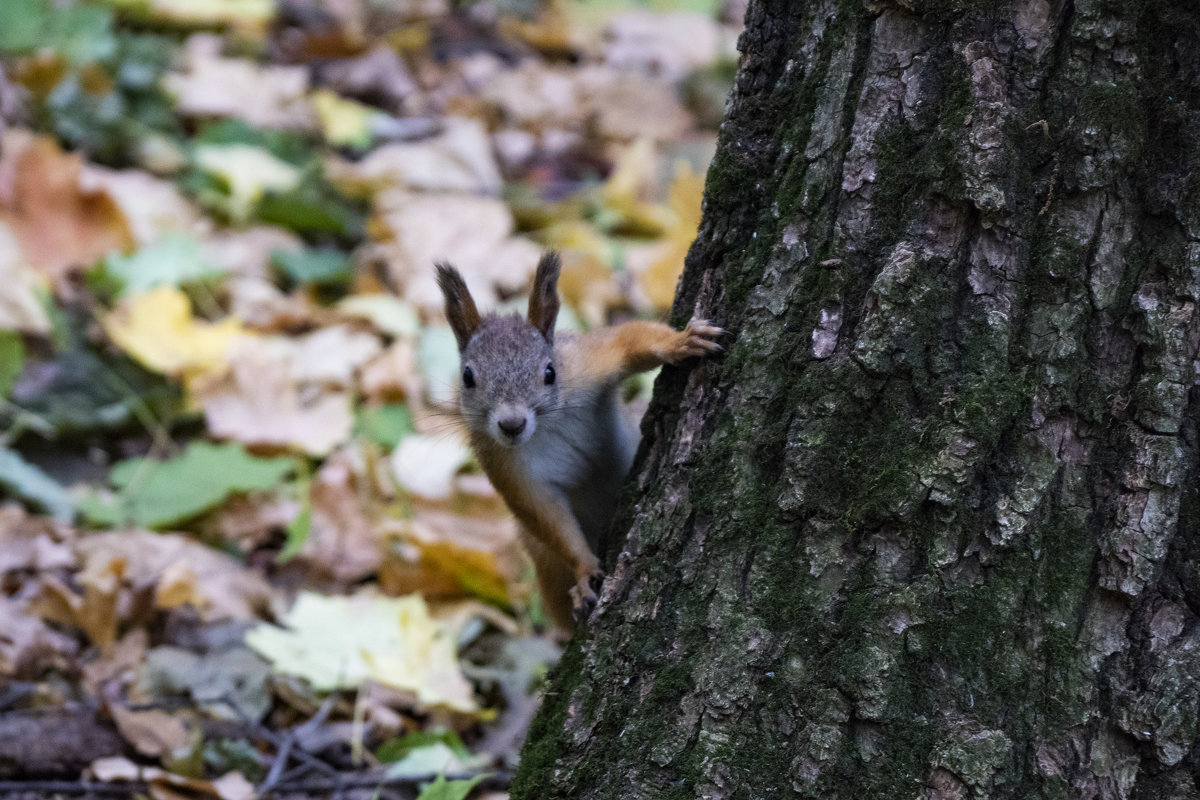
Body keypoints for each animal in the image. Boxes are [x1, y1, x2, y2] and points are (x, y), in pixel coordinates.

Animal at [439, 251, 724, 633]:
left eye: (550, 372)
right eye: (468, 377)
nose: (512, 424)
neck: (547, 425)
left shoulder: (586, 365)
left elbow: (627, 342)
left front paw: (681, 341)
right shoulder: (504, 465)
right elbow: (545, 515)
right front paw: (585, 571)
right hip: (543, 561)